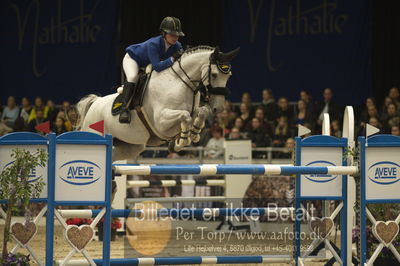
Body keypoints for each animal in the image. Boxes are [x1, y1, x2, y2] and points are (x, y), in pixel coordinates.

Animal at [76, 46, 239, 161]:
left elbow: (201, 112)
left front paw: (193, 133)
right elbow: (185, 116)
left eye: (229, 75)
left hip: (131, 146)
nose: (218, 108)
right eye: (214, 75)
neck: (179, 82)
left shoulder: (192, 111)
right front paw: (182, 140)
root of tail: (95, 103)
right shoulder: (161, 122)